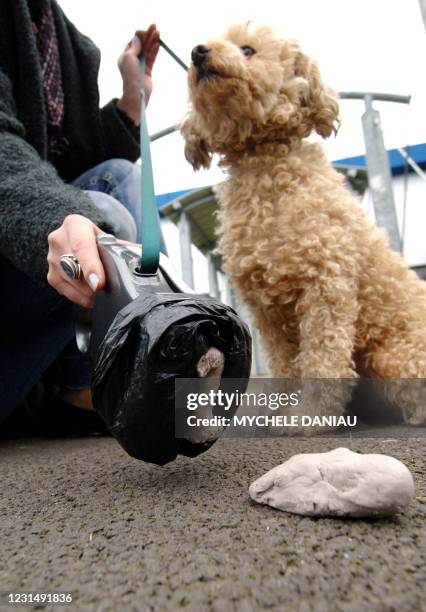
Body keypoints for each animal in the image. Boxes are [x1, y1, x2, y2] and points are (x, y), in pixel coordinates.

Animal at [181, 22, 426, 426]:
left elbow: (323, 358)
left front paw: (311, 415)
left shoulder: (327, 284)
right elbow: (285, 364)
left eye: (247, 50)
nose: (198, 51)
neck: (265, 165)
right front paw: (282, 409)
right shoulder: (265, 307)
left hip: (392, 355)